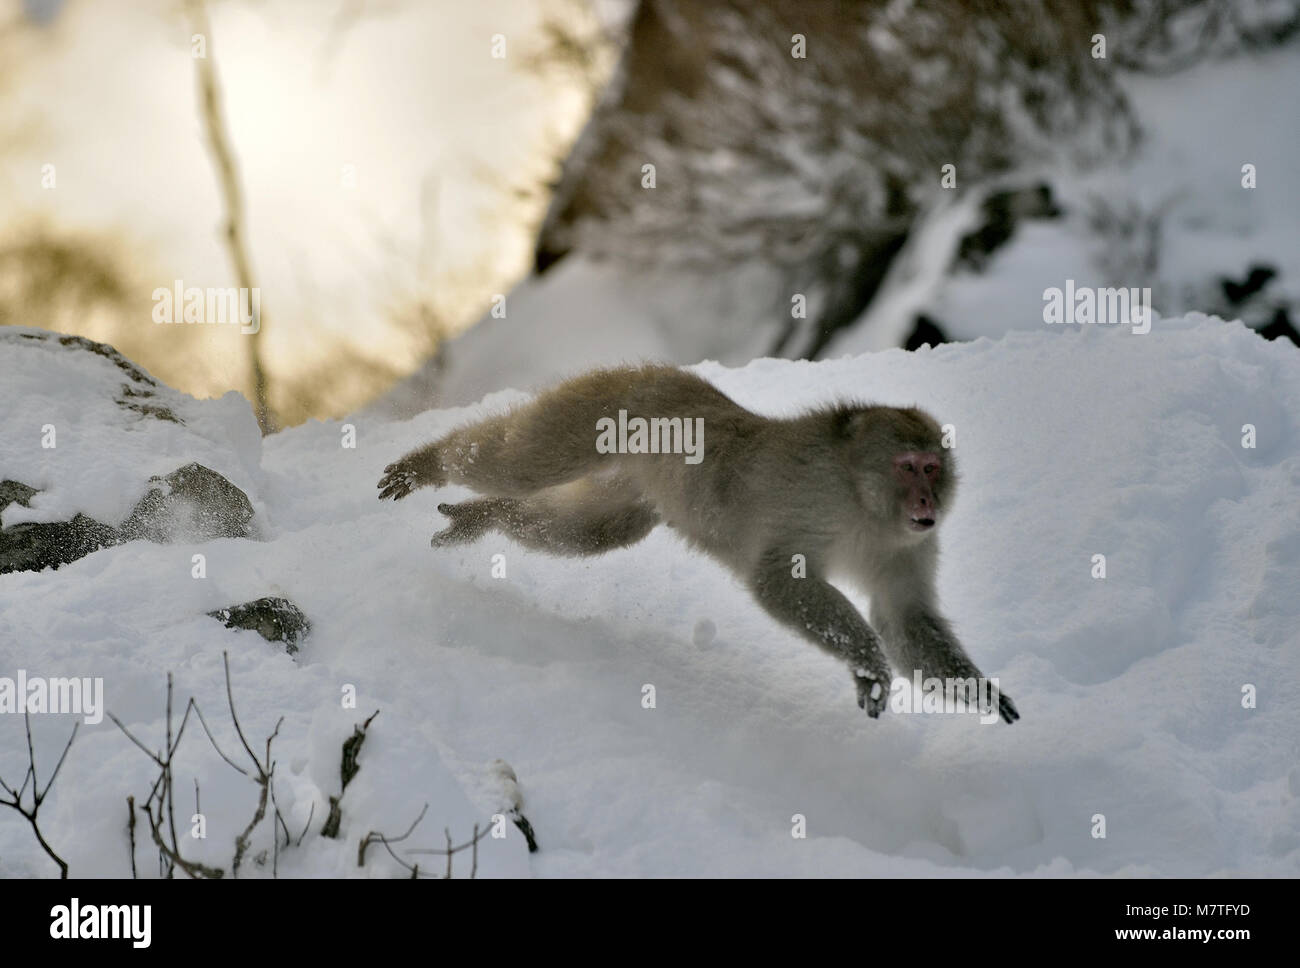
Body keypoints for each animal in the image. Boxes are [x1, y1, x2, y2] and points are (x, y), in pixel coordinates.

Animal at [378, 364, 1018, 724]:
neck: (864, 504)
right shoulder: (815, 502)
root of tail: (658, 371)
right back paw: (430, 462)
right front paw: (867, 664)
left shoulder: (909, 548)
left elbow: (903, 619)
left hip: (629, 481)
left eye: (933, 467)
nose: (927, 501)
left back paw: (486, 516)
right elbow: (776, 580)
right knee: (519, 461)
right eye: (907, 466)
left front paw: (983, 694)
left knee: (586, 532)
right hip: (596, 408)